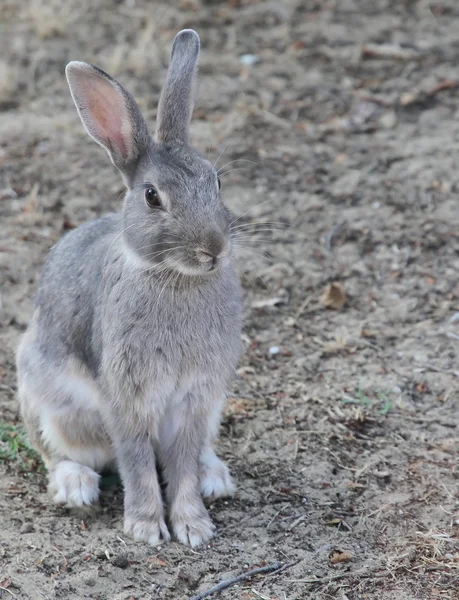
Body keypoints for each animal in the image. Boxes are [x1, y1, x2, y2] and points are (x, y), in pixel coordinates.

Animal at [15, 31, 244, 548]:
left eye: (217, 181)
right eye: (152, 196)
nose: (214, 250)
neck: (175, 277)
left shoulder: (196, 399)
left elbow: (180, 465)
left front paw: (194, 527)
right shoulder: (127, 397)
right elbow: (137, 462)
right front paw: (145, 528)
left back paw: (216, 478)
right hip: (46, 398)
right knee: (54, 449)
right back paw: (76, 486)